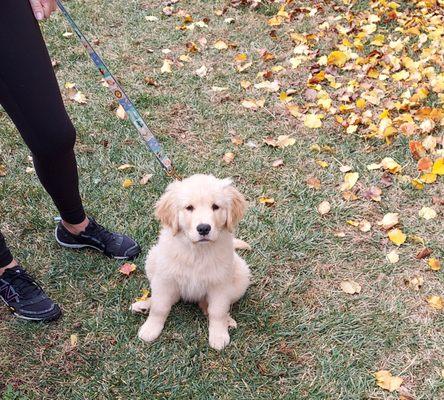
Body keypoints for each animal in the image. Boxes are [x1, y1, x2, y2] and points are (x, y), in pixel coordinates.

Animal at [131, 175, 250, 350]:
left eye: (215, 207)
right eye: (189, 208)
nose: (204, 228)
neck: (197, 251)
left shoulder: (220, 284)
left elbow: (218, 311)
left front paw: (219, 335)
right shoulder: (165, 278)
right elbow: (160, 307)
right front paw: (151, 329)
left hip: (242, 274)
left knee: (208, 305)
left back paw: (227, 319)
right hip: (153, 259)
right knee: (171, 298)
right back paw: (144, 305)